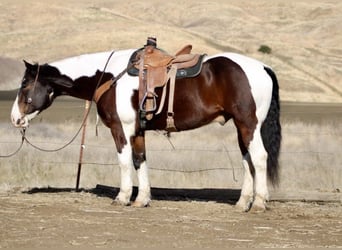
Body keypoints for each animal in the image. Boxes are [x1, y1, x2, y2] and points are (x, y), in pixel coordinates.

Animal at [10, 48, 280, 211]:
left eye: (24, 85)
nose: (15, 118)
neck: (108, 77)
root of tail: (263, 68)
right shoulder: (138, 131)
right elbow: (140, 160)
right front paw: (141, 199)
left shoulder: (120, 129)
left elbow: (124, 162)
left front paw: (122, 197)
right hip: (241, 128)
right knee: (247, 160)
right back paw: (242, 202)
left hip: (249, 124)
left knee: (259, 157)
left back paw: (258, 203)